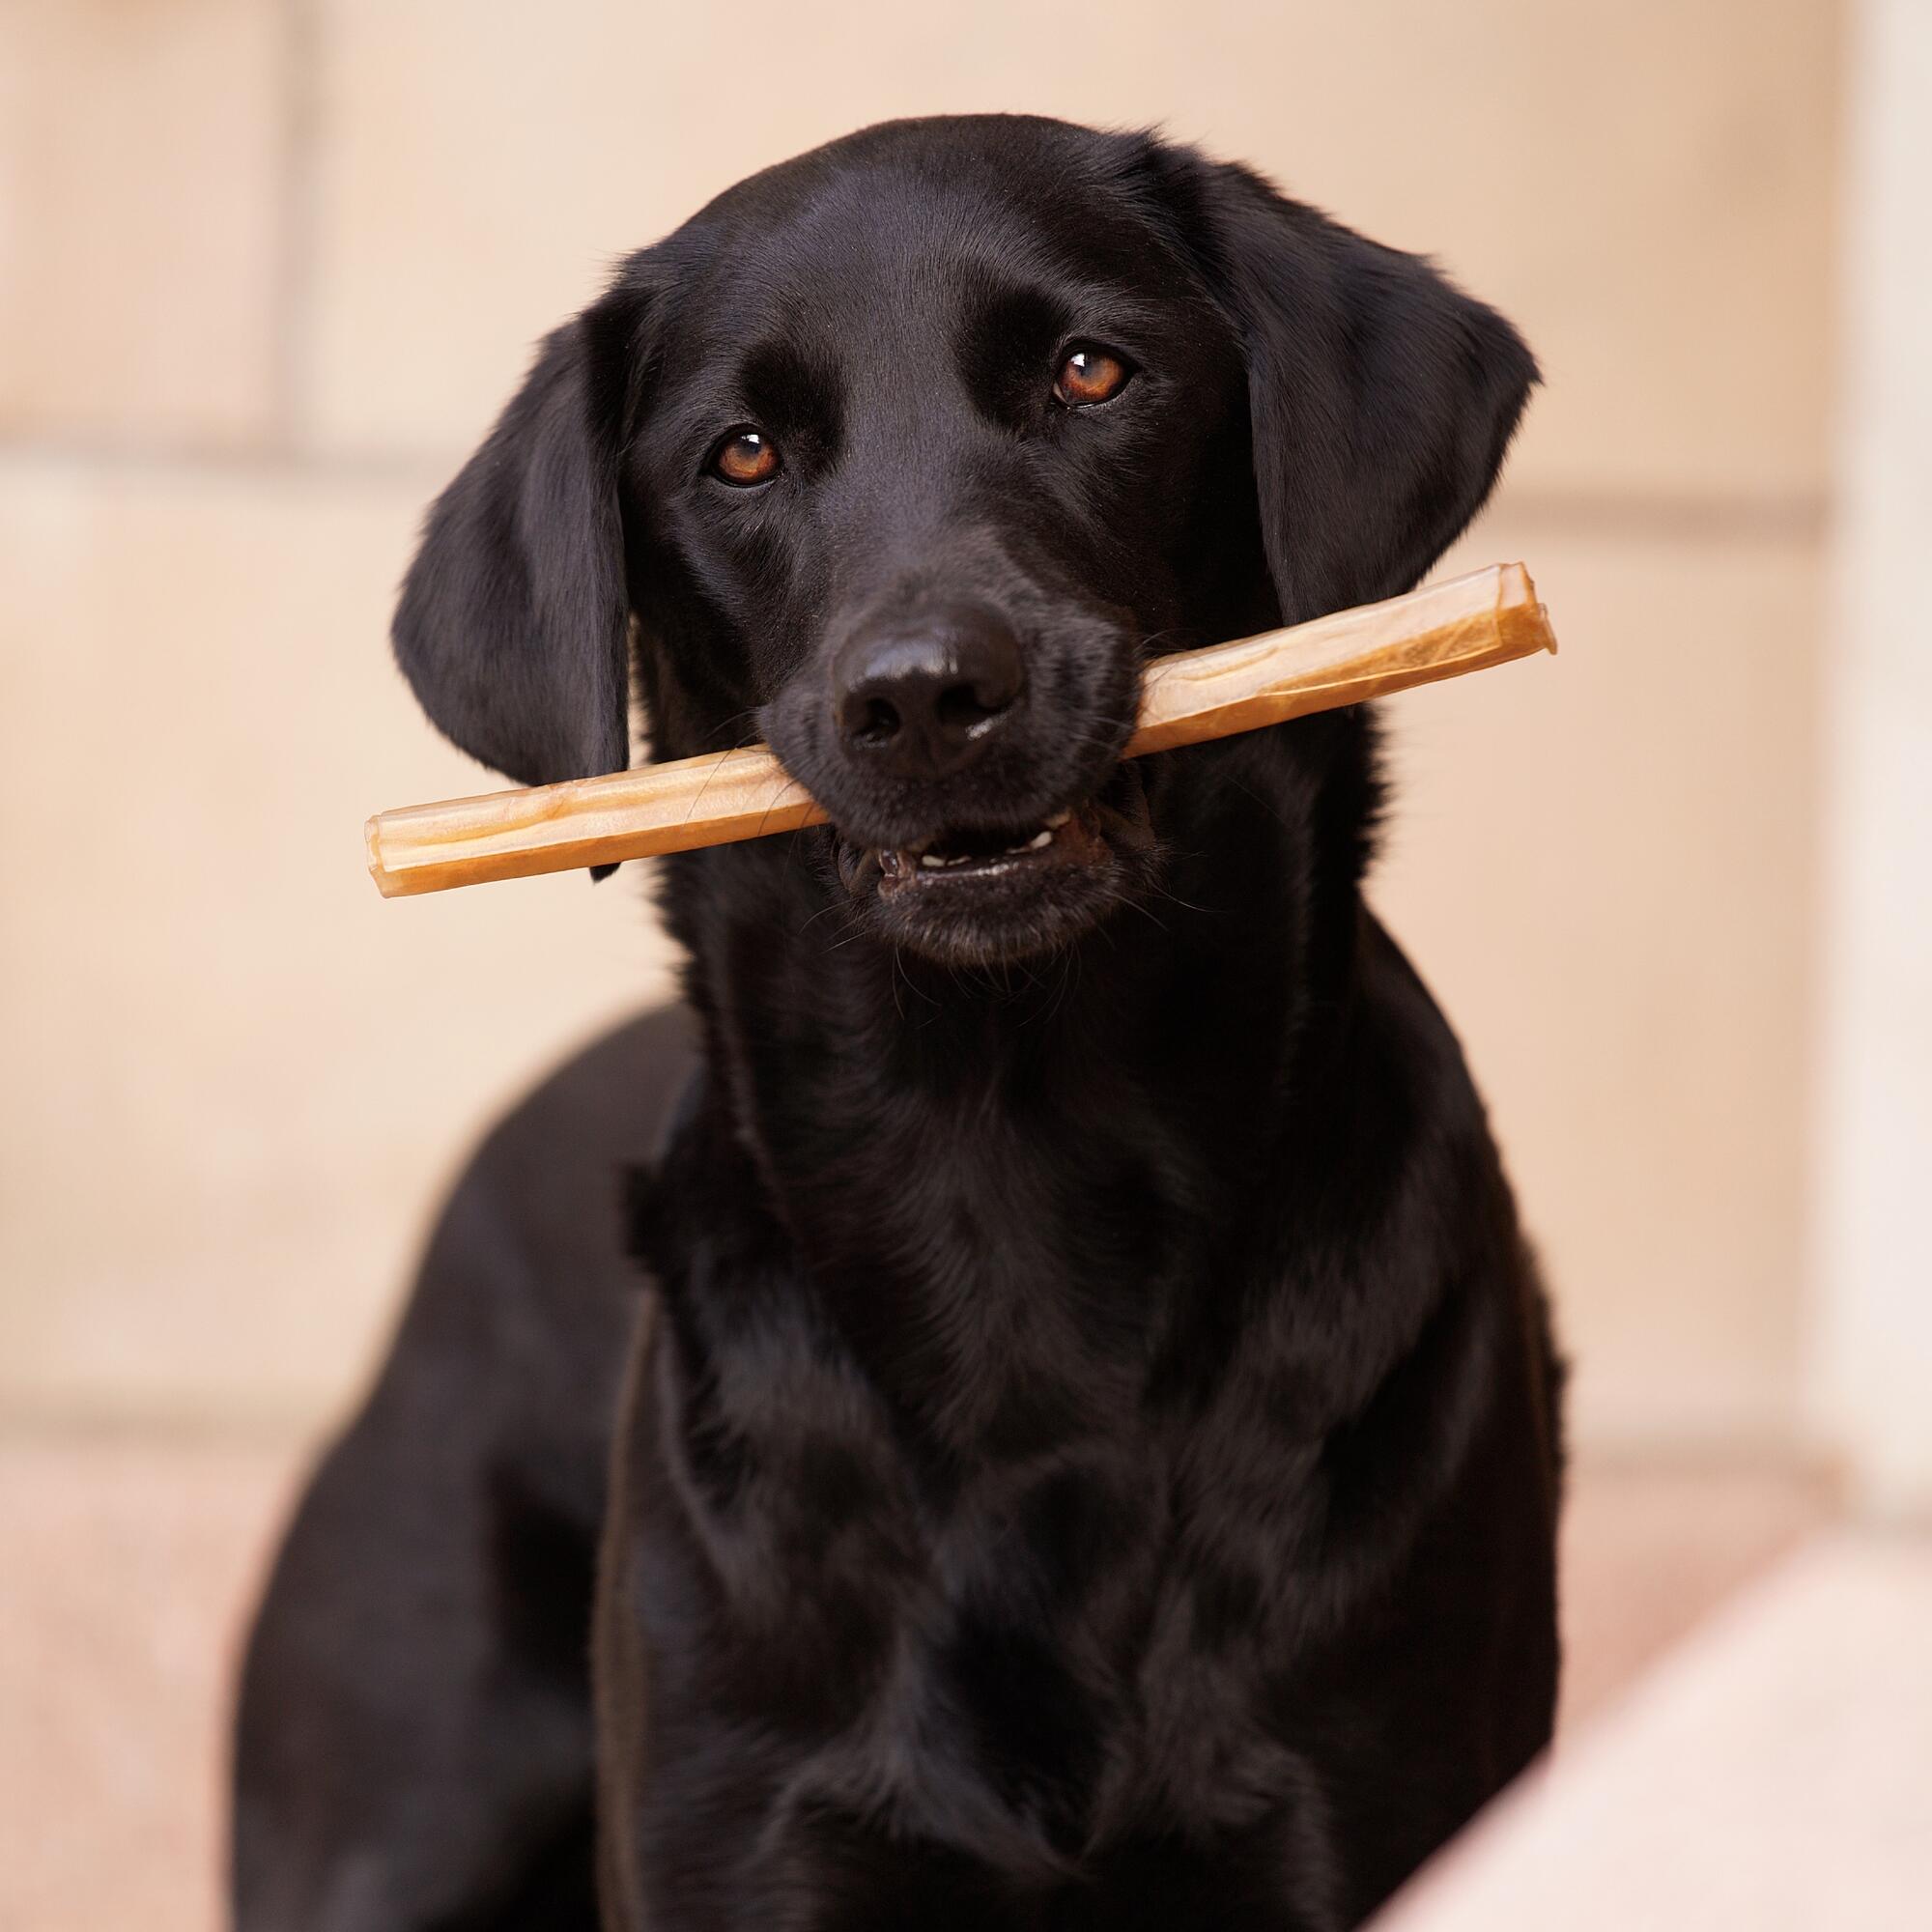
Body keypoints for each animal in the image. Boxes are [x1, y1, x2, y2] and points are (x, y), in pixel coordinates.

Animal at [234, 113, 1561, 1924]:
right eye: (738, 456)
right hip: (394, 1827)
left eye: (1091, 371)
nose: (927, 692)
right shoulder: (747, 1833)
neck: (1014, 1183)